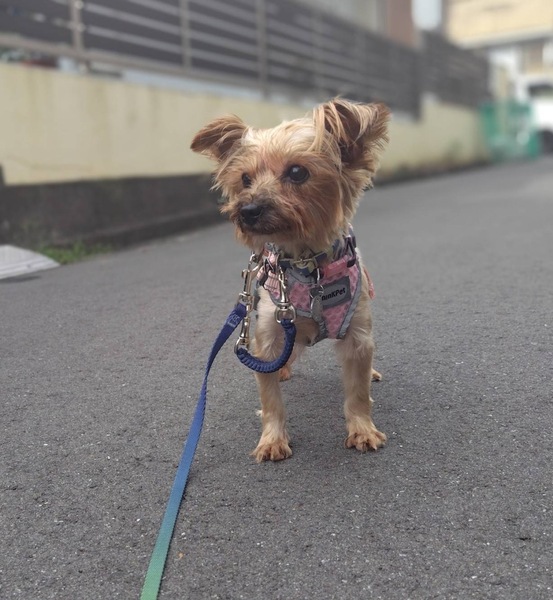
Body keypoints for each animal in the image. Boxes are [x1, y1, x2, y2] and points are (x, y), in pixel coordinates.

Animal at [191, 98, 389, 462]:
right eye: (245, 179)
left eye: (298, 172)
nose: (248, 210)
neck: (306, 264)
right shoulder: (269, 332)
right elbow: (270, 399)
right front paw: (272, 440)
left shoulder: (357, 335)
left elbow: (357, 392)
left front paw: (363, 430)